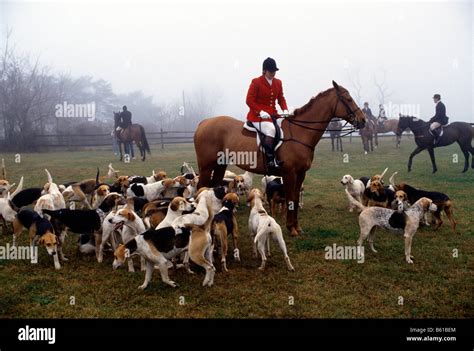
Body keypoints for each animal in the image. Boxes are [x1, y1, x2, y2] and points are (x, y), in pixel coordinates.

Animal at [194, 81, 364, 238]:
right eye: (348, 99)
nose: (363, 120)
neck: (299, 132)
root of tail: (204, 122)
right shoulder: (289, 173)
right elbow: (290, 198)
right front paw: (291, 228)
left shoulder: (301, 174)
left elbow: (295, 198)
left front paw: (297, 227)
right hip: (206, 166)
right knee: (201, 188)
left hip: (220, 165)